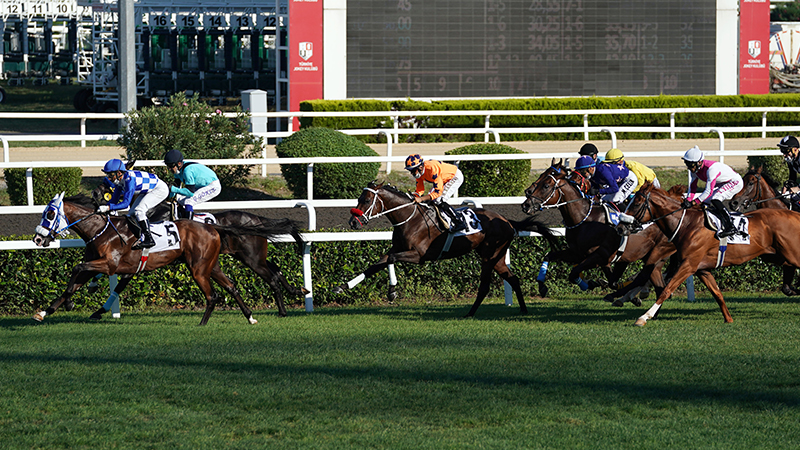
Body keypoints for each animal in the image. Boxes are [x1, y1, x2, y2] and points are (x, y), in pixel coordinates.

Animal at [31, 192, 300, 326]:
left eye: (50, 214)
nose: (37, 238)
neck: (102, 230)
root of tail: (214, 228)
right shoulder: (115, 267)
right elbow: (74, 282)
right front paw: (45, 312)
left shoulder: (112, 265)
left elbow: (78, 269)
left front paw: (73, 305)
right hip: (212, 265)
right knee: (234, 286)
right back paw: (252, 316)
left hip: (219, 265)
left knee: (251, 283)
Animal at [332, 181, 556, 318]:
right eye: (358, 199)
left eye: (366, 200)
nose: (353, 222)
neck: (410, 218)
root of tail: (507, 221)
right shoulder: (398, 249)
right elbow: (377, 264)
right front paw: (342, 286)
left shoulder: (419, 256)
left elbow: (391, 259)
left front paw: (392, 291)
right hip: (497, 258)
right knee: (513, 279)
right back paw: (523, 310)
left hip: (490, 255)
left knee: (485, 286)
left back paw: (470, 313)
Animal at [520, 159, 680, 306]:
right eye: (541, 176)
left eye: (546, 185)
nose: (526, 204)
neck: (585, 218)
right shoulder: (578, 253)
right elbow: (549, 256)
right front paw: (542, 285)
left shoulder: (600, 255)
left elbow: (575, 273)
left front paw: (590, 284)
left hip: (658, 252)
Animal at [628, 181, 800, 326]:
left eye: (636, 203)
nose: (623, 224)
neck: (686, 224)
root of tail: (794, 215)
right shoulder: (702, 269)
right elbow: (717, 293)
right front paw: (728, 319)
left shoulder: (688, 265)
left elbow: (666, 290)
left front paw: (644, 317)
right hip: (776, 256)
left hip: (792, 254)